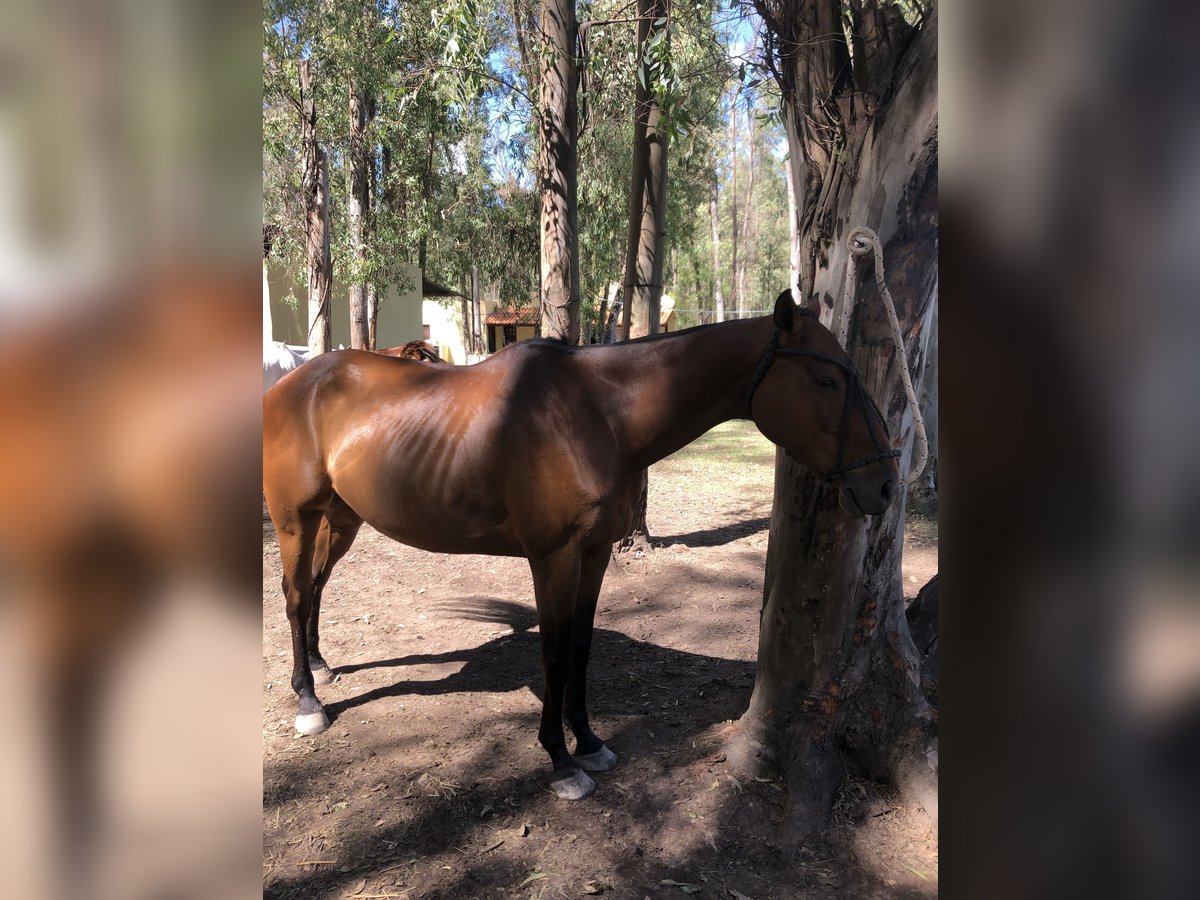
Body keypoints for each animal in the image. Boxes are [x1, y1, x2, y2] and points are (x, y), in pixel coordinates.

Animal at [265, 294, 902, 801]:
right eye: (825, 381)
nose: (886, 484)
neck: (598, 414)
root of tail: (295, 380)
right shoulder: (554, 558)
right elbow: (553, 651)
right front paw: (560, 759)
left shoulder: (594, 554)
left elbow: (580, 646)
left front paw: (590, 741)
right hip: (295, 522)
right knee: (295, 597)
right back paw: (308, 704)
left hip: (340, 520)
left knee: (315, 589)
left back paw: (320, 666)